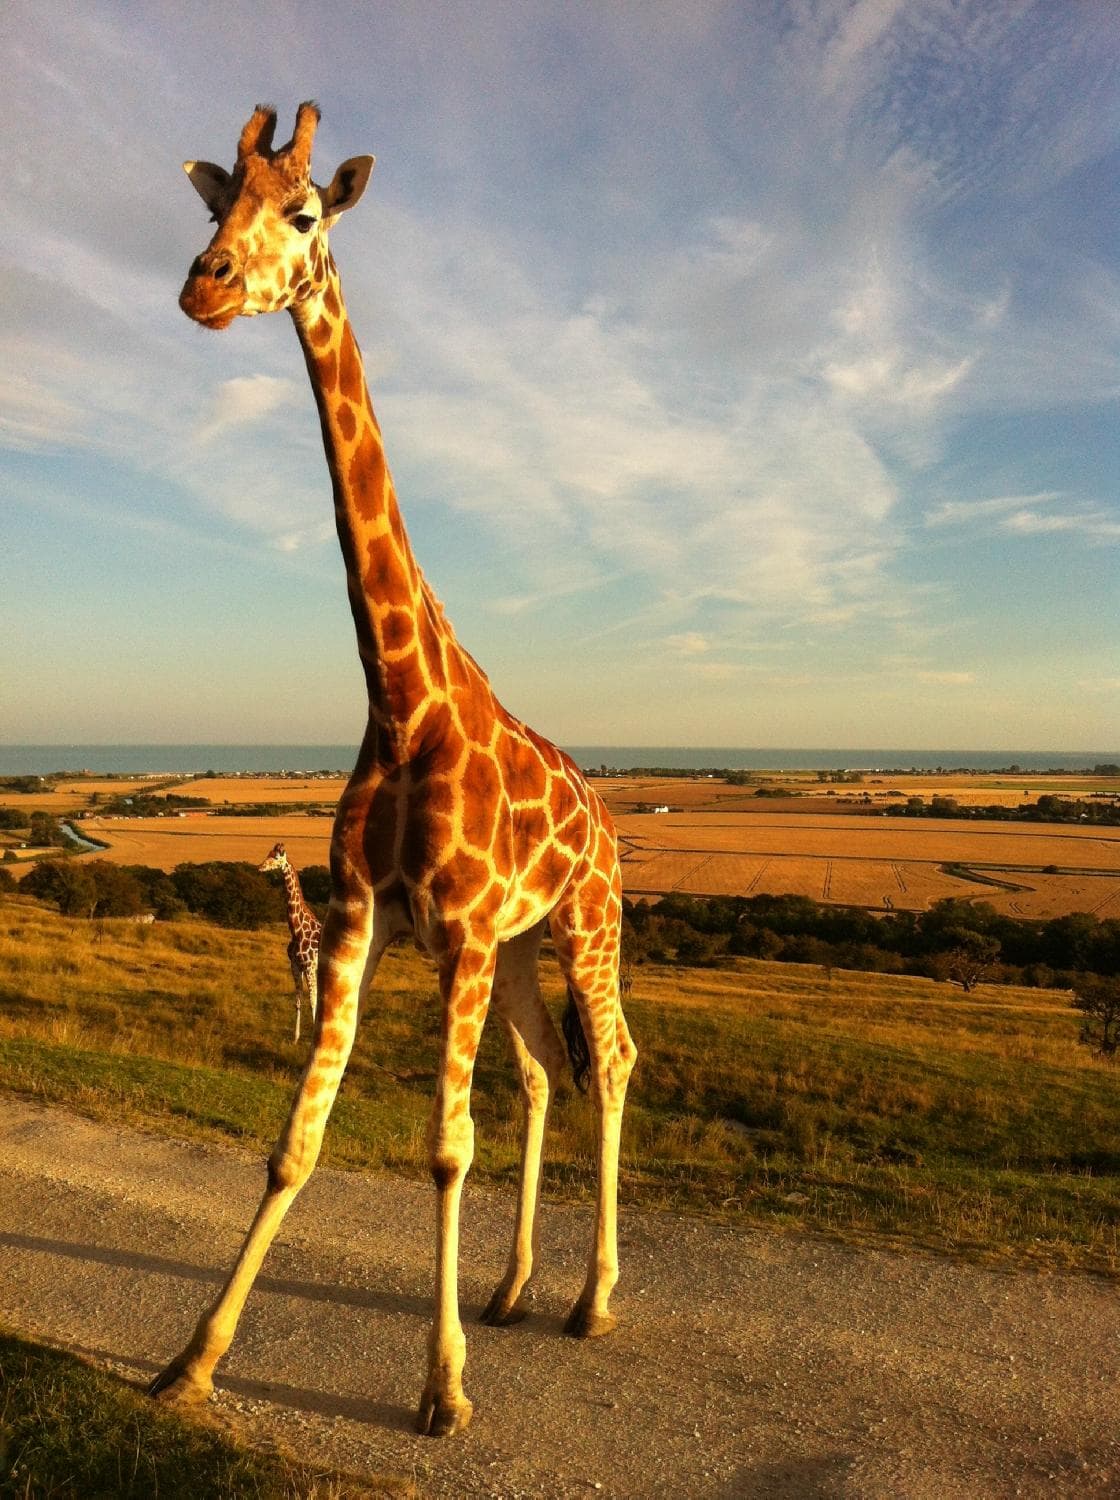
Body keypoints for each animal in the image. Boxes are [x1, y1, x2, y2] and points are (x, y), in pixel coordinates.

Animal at [259, 842, 321, 1043]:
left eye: (276, 857)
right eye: (268, 853)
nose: (260, 867)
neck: (297, 931)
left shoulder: (309, 966)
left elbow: (313, 1000)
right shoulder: (295, 965)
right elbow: (298, 1000)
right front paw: (295, 1038)